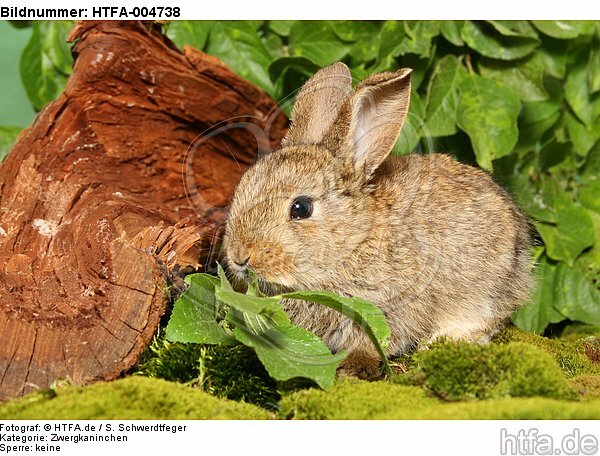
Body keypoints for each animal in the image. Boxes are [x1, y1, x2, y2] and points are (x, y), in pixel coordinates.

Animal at [221, 62, 536, 380]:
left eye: (301, 208)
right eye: (243, 186)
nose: (239, 256)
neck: (354, 239)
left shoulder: (392, 304)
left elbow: (374, 340)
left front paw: (355, 368)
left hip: (487, 287)